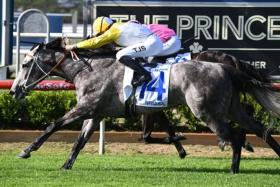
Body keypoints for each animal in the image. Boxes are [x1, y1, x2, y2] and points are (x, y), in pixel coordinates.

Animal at [9, 38, 280, 174]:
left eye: (25, 64)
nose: (13, 90)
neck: (89, 69)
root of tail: (225, 67)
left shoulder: (86, 107)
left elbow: (53, 125)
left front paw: (26, 150)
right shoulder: (95, 113)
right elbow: (80, 141)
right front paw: (66, 165)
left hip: (206, 112)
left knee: (236, 135)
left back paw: (233, 169)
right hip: (232, 108)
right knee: (259, 131)